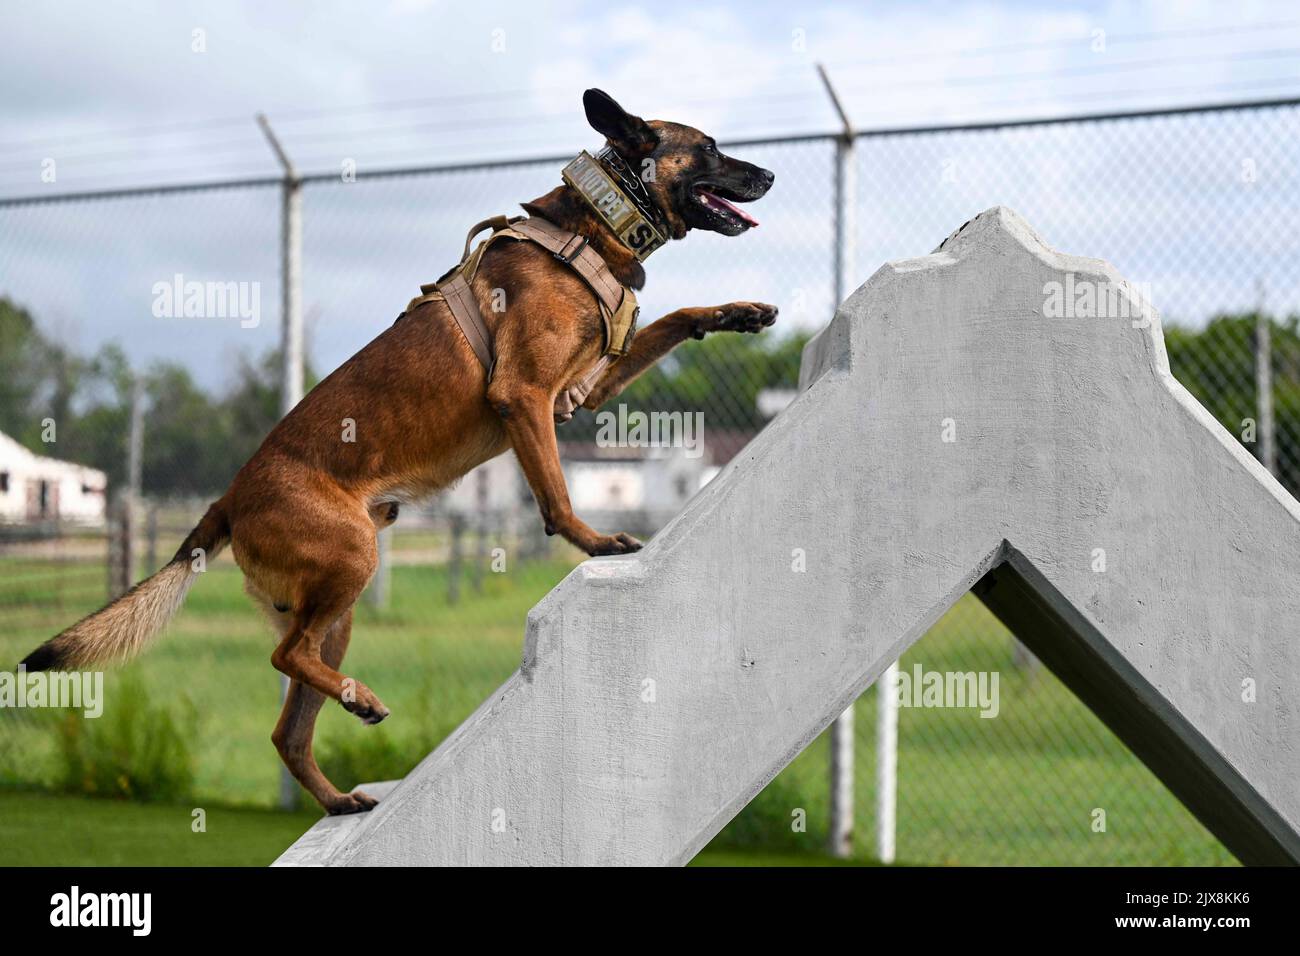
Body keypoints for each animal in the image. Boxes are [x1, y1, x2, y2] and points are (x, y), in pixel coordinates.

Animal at [20, 89, 774, 811]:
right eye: (709, 149)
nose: (767, 174)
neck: (590, 224)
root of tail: (227, 500)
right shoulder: (525, 395)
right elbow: (556, 495)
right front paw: (594, 542)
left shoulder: (586, 390)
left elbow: (676, 318)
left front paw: (738, 313)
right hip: (353, 559)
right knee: (284, 657)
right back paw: (360, 699)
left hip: (338, 608)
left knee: (288, 726)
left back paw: (337, 797)